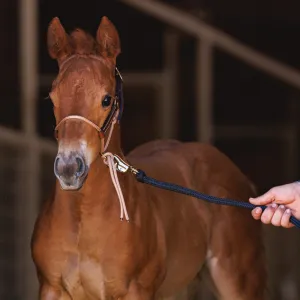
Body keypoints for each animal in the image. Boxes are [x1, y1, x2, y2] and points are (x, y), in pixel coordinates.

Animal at [31, 15, 268, 300]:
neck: (83, 220)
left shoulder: (136, 290)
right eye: (52, 97)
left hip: (238, 281)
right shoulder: (51, 288)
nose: (69, 168)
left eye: (106, 99)